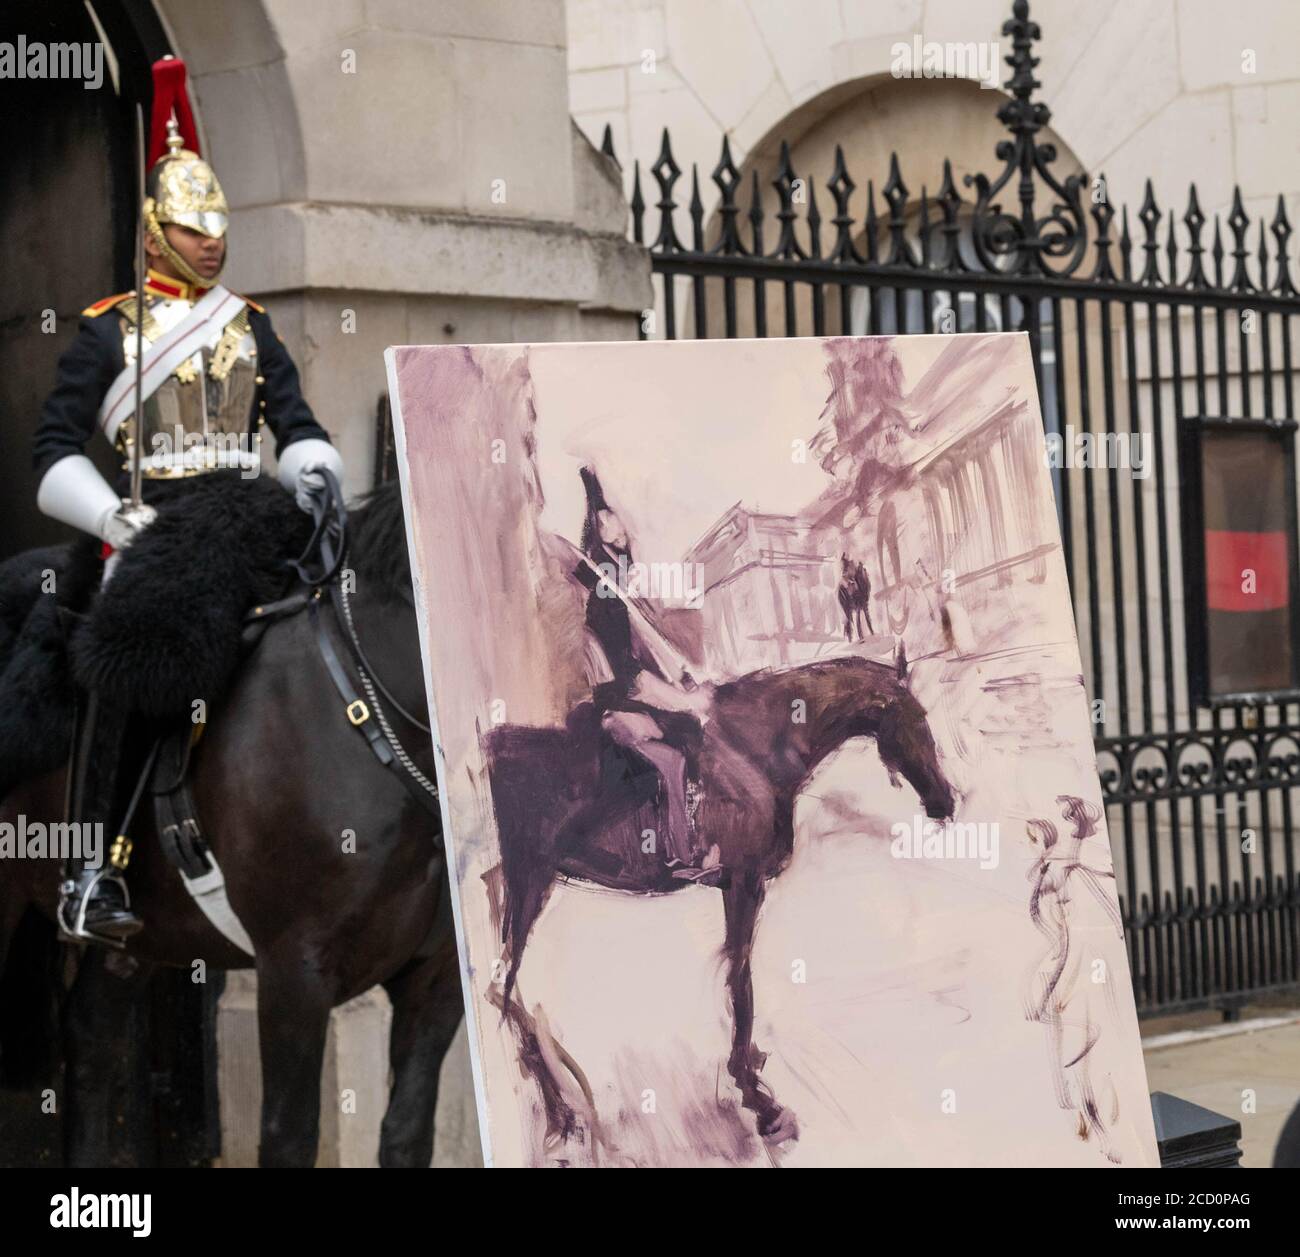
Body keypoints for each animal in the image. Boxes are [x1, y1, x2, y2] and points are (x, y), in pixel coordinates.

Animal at [483, 652, 951, 1154]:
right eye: (916, 718)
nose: (945, 802)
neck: (755, 748)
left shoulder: (736, 885)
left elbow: (735, 976)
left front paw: (752, 1071)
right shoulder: (744, 883)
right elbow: (740, 980)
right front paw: (760, 1102)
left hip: (519, 885)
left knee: (502, 984)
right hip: (531, 881)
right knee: (500, 987)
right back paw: (560, 1109)